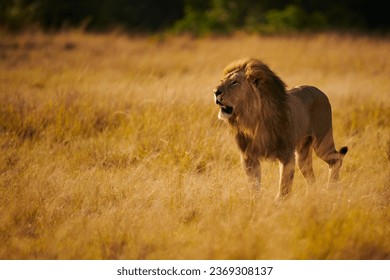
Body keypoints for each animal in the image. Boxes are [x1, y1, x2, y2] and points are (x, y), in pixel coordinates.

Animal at [213, 57, 348, 199]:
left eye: (234, 83)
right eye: (222, 81)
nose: (215, 92)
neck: (253, 120)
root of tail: (319, 90)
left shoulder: (287, 154)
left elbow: (284, 185)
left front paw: (279, 202)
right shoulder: (248, 157)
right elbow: (254, 185)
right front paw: (255, 200)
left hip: (322, 144)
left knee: (337, 158)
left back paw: (331, 187)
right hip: (303, 154)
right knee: (311, 175)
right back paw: (312, 194)